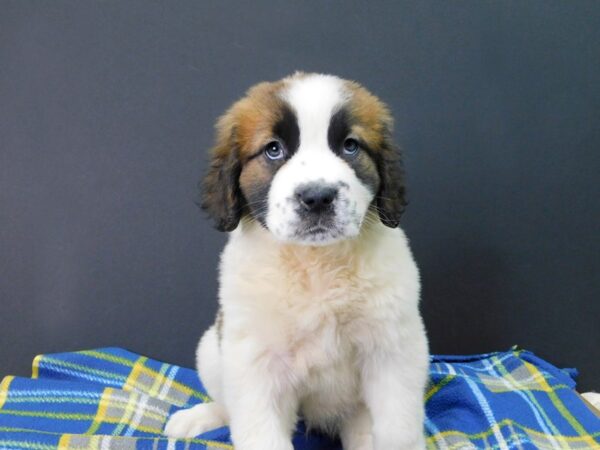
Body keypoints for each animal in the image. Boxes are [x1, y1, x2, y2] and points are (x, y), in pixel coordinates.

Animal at [163, 74, 426, 450]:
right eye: (273, 150)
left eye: (350, 146)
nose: (317, 197)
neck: (315, 265)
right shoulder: (255, 362)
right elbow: (260, 431)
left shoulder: (394, 349)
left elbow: (398, 429)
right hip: (212, 349)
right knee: (226, 402)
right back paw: (199, 417)